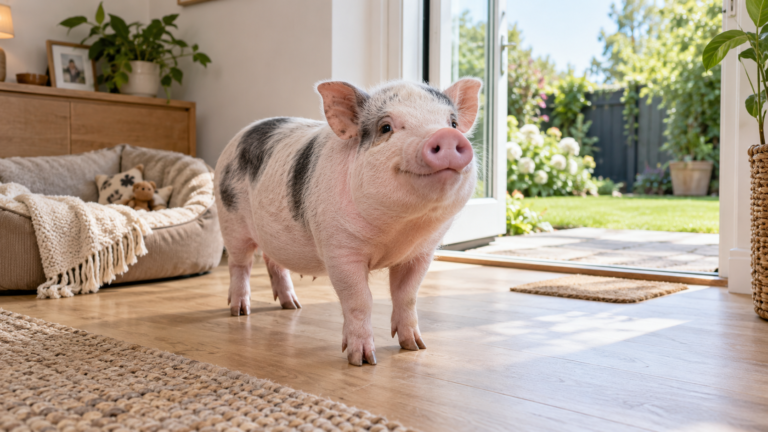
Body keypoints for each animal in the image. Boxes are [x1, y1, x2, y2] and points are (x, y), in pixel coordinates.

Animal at [214, 78, 482, 366]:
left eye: (452, 123)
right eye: (385, 127)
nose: (446, 136)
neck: (398, 231)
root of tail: (240, 135)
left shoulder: (420, 254)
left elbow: (407, 295)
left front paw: (415, 347)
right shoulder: (340, 250)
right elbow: (360, 300)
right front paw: (363, 361)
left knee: (273, 261)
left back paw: (292, 305)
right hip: (230, 220)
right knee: (240, 265)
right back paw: (240, 311)